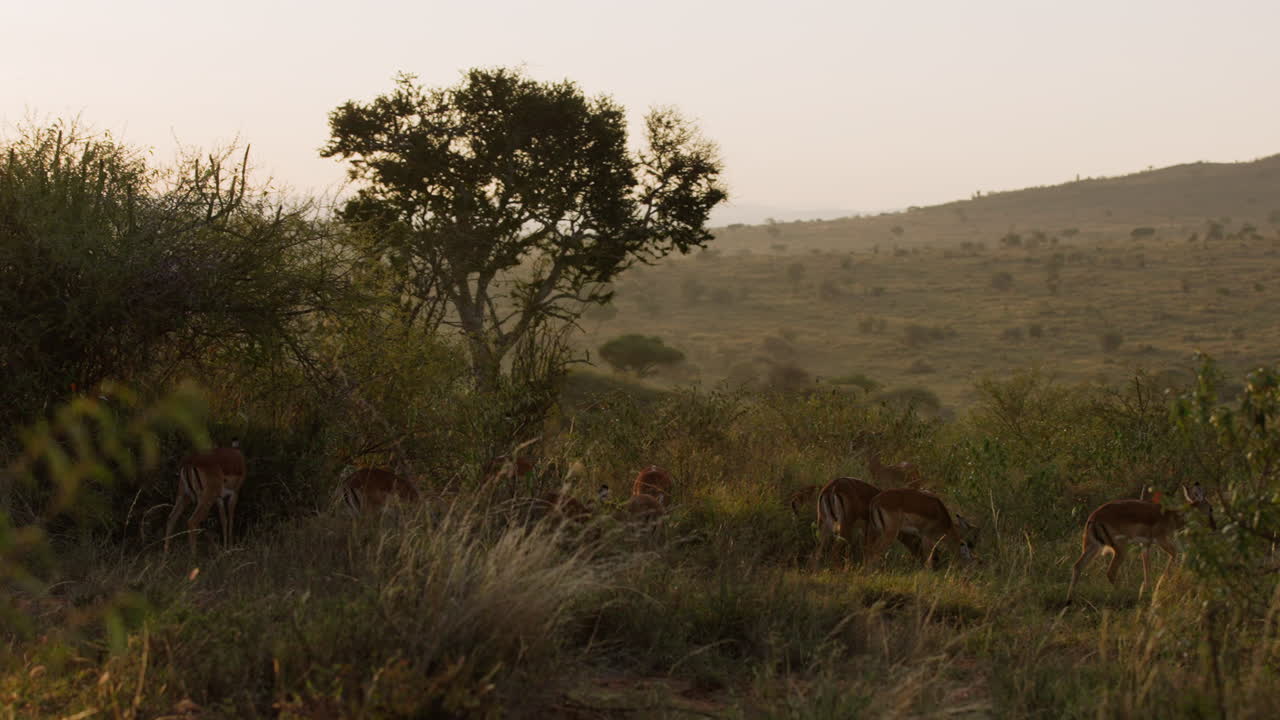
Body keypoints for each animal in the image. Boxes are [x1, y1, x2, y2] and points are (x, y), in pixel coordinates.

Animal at [1065, 484, 1216, 604]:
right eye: (1211, 508)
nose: (1214, 527)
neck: (1171, 517)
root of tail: (1093, 518)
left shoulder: (1146, 545)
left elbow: (1146, 568)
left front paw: (1146, 590)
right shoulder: (1161, 540)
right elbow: (1174, 554)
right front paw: (1160, 585)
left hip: (1093, 546)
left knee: (1077, 566)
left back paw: (1069, 600)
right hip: (1120, 549)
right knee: (1110, 572)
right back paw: (1125, 594)